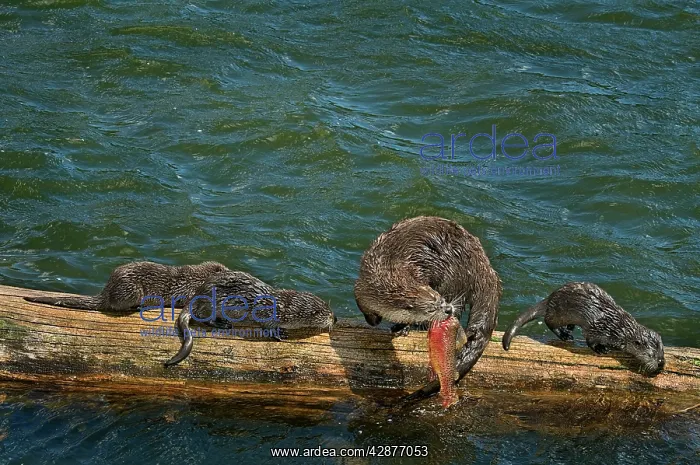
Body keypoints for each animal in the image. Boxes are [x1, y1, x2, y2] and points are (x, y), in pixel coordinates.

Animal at [164, 270, 336, 367]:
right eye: (327, 313)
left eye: (330, 309)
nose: (335, 319)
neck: (282, 306)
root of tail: (196, 296)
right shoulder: (267, 315)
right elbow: (268, 327)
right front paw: (279, 333)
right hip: (211, 305)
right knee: (202, 318)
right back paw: (223, 324)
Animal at [354, 216, 501, 407]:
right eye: (432, 307)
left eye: (441, 300)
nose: (448, 309)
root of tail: (481, 262)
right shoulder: (361, 288)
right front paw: (377, 321)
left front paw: (403, 328)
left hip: (453, 278)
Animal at [502, 282, 665, 376]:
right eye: (651, 355)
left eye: (661, 352)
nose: (661, 363)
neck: (618, 329)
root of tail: (551, 297)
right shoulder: (597, 328)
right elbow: (590, 340)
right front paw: (601, 349)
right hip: (560, 312)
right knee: (549, 321)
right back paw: (565, 335)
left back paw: (569, 328)